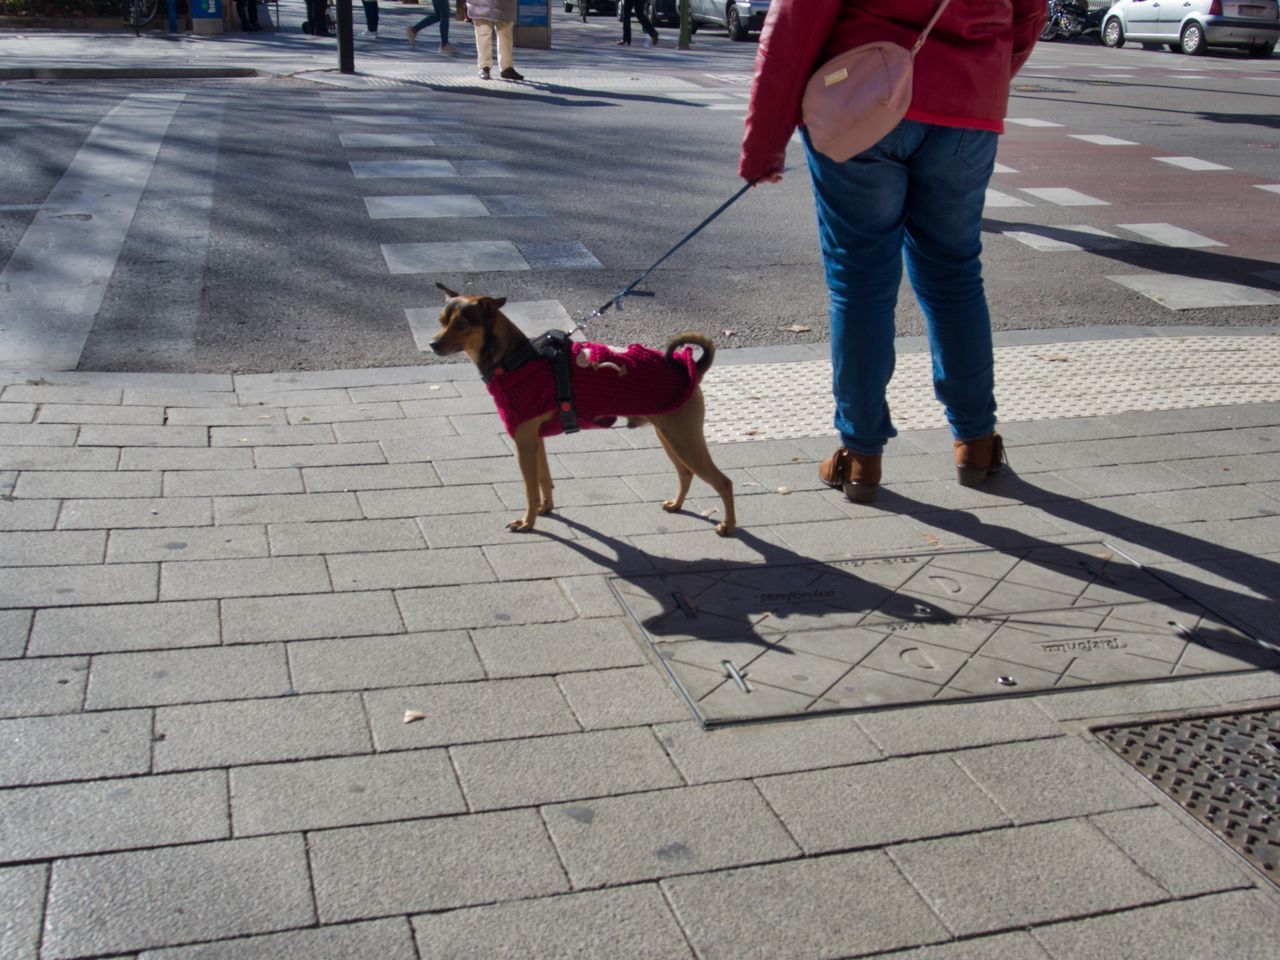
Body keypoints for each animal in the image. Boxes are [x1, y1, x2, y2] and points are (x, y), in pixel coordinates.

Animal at [427, 285, 737, 542]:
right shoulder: (535, 441)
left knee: (723, 481)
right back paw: (677, 504)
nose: (433, 344)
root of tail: (691, 368)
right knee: (685, 473)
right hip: (670, 436)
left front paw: (527, 523)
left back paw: (729, 526)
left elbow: (529, 489)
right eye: (441, 320)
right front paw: (546, 509)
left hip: (684, 439)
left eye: (462, 324)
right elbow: (544, 480)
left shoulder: (524, 444)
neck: (515, 360)